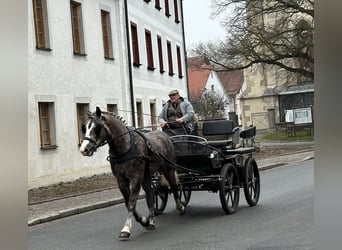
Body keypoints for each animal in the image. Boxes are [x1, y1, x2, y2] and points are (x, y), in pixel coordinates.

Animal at [79, 106, 184, 239]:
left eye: (96, 128)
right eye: (84, 128)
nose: (83, 149)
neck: (125, 147)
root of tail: (164, 135)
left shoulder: (135, 178)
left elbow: (131, 202)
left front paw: (126, 228)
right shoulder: (121, 180)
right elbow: (127, 201)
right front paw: (144, 220)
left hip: (168, 169)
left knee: (174, 187)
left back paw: (180, 207)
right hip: (147, 175)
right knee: (150, 194)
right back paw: (151, 221)